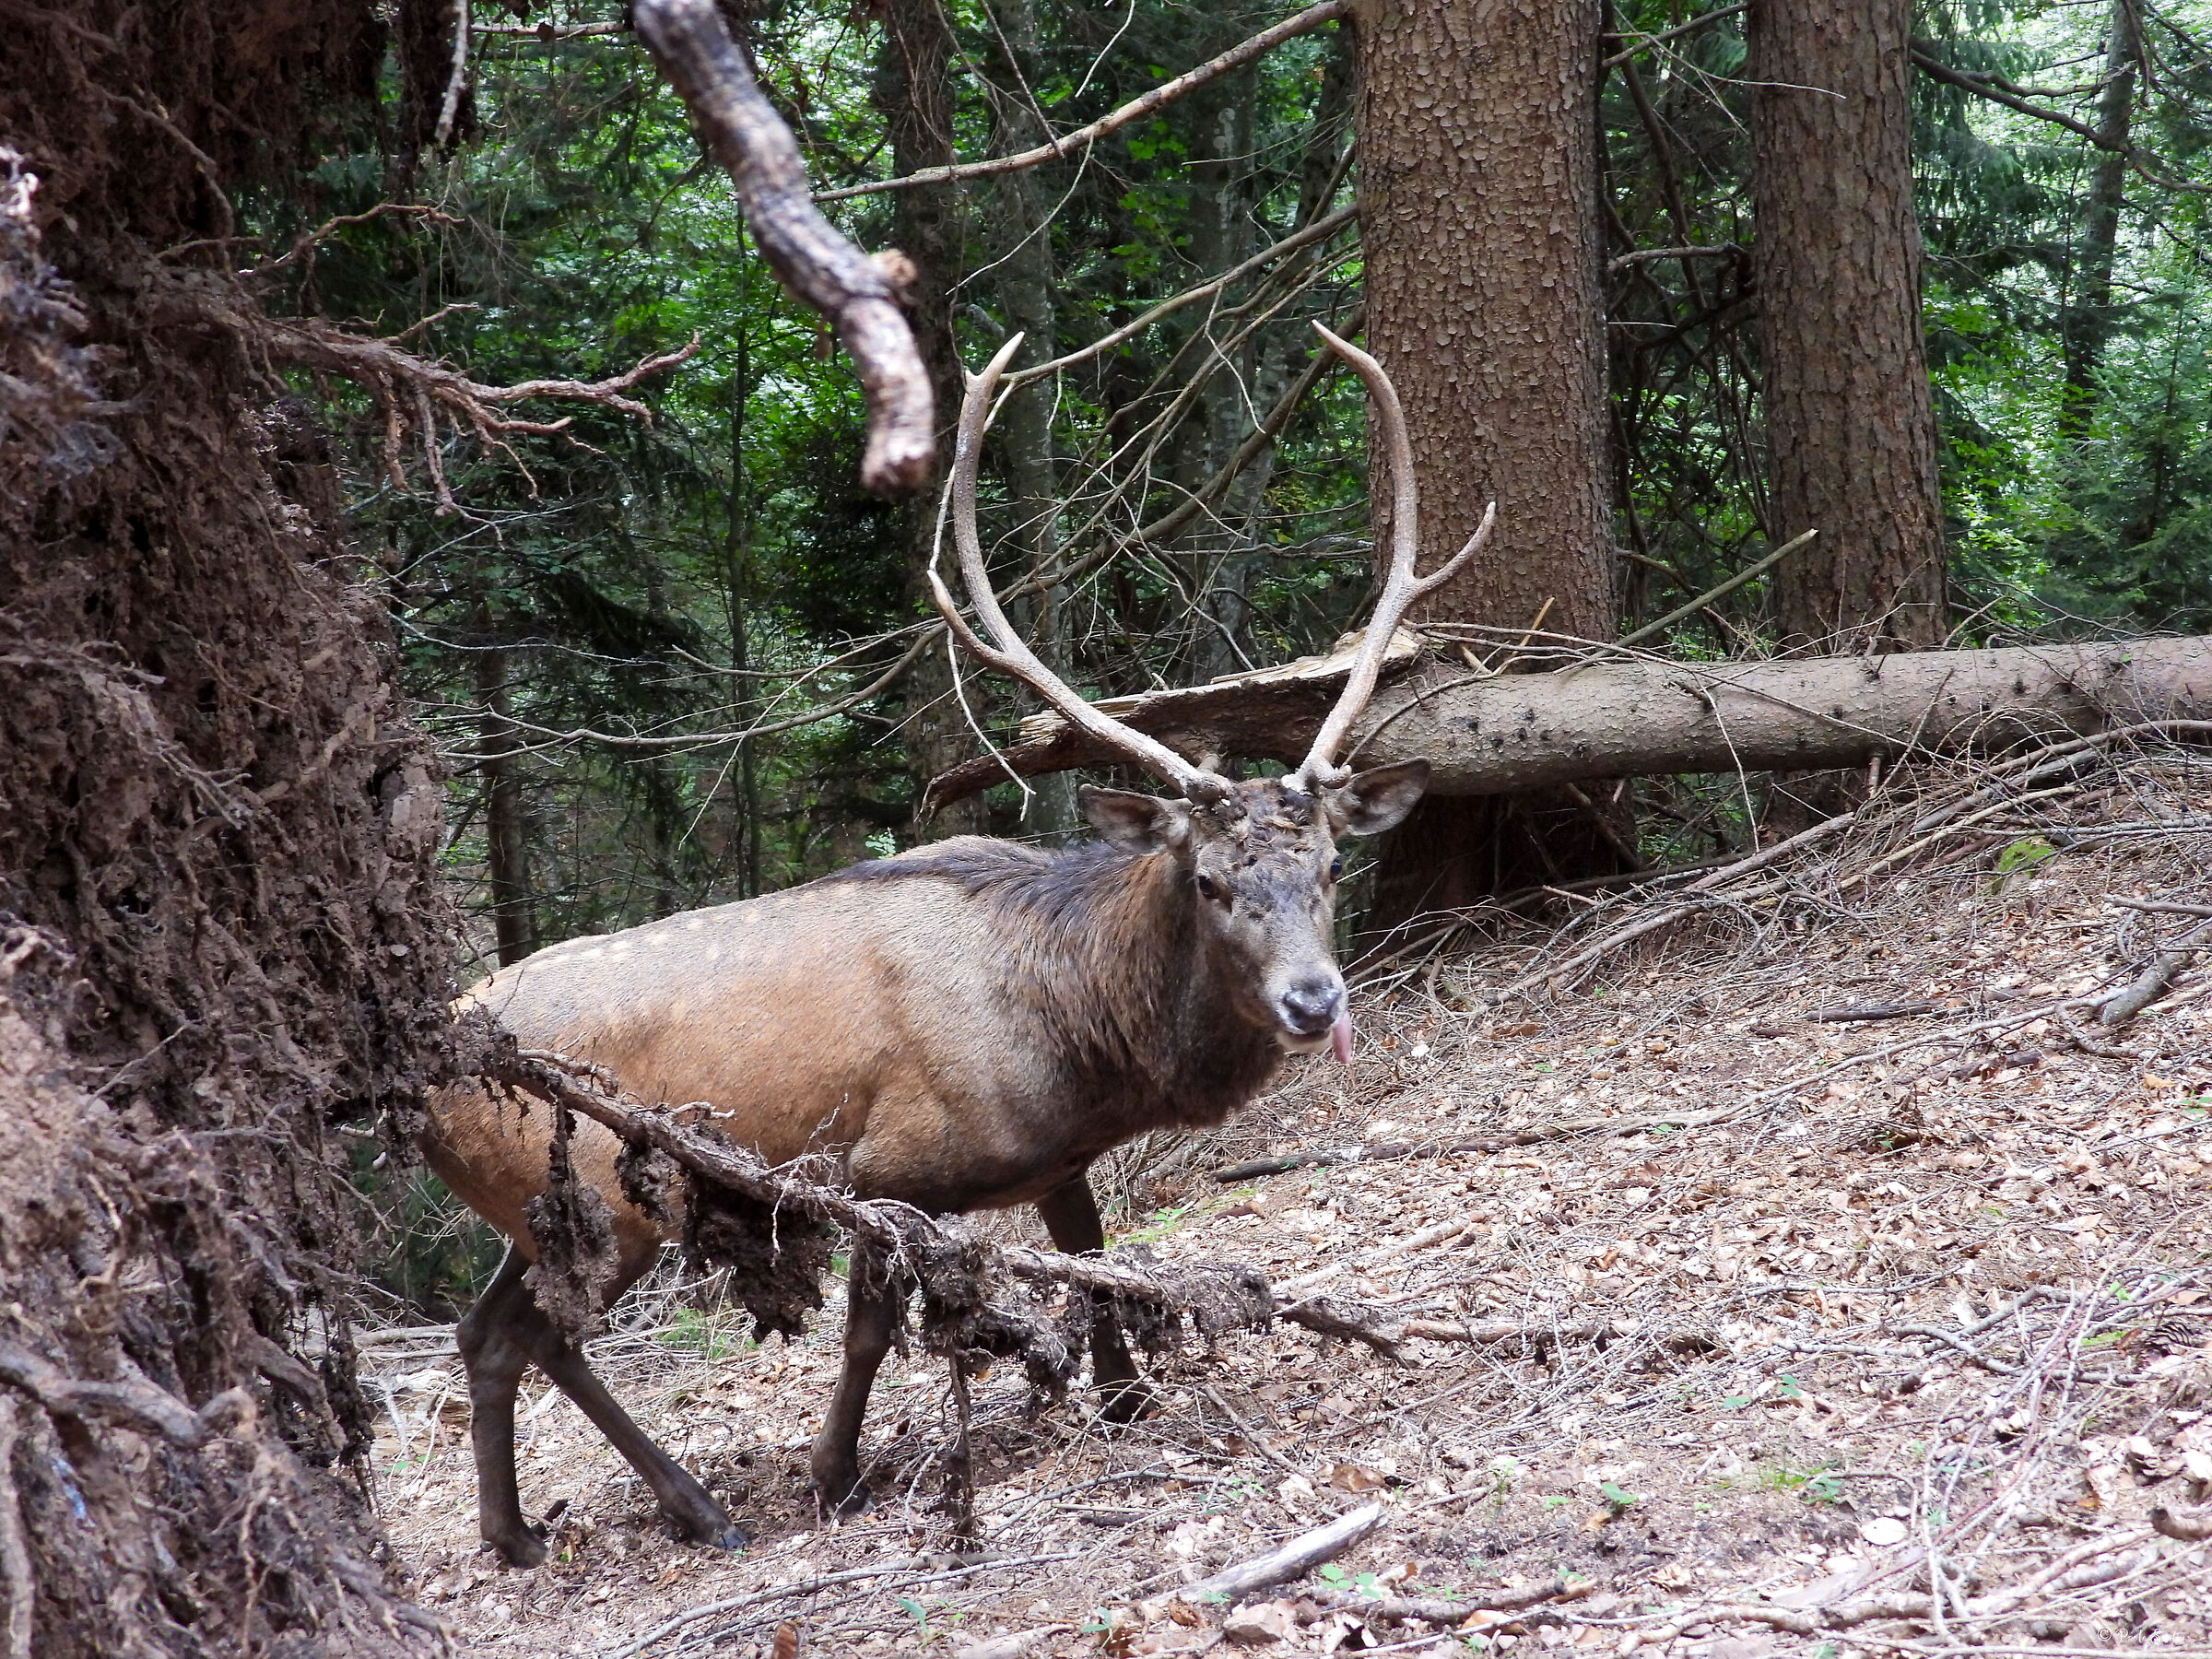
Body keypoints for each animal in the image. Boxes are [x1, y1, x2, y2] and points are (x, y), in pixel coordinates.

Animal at [418, 325, 1497, 1567]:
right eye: (1211, 882)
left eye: (1327, 870)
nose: (1316, 1002)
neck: (1083, 1041)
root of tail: (416, 1077)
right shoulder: (892, 1168)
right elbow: (870, 1328)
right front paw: (836, 1474)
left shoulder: (1060, 1157)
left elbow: (1092, 1259)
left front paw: (1123, 1397)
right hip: (608, 1196)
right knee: (544, 1336)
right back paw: (700, 1510)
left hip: (527, 1212)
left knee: (483, 1332)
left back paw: (514, 1533)